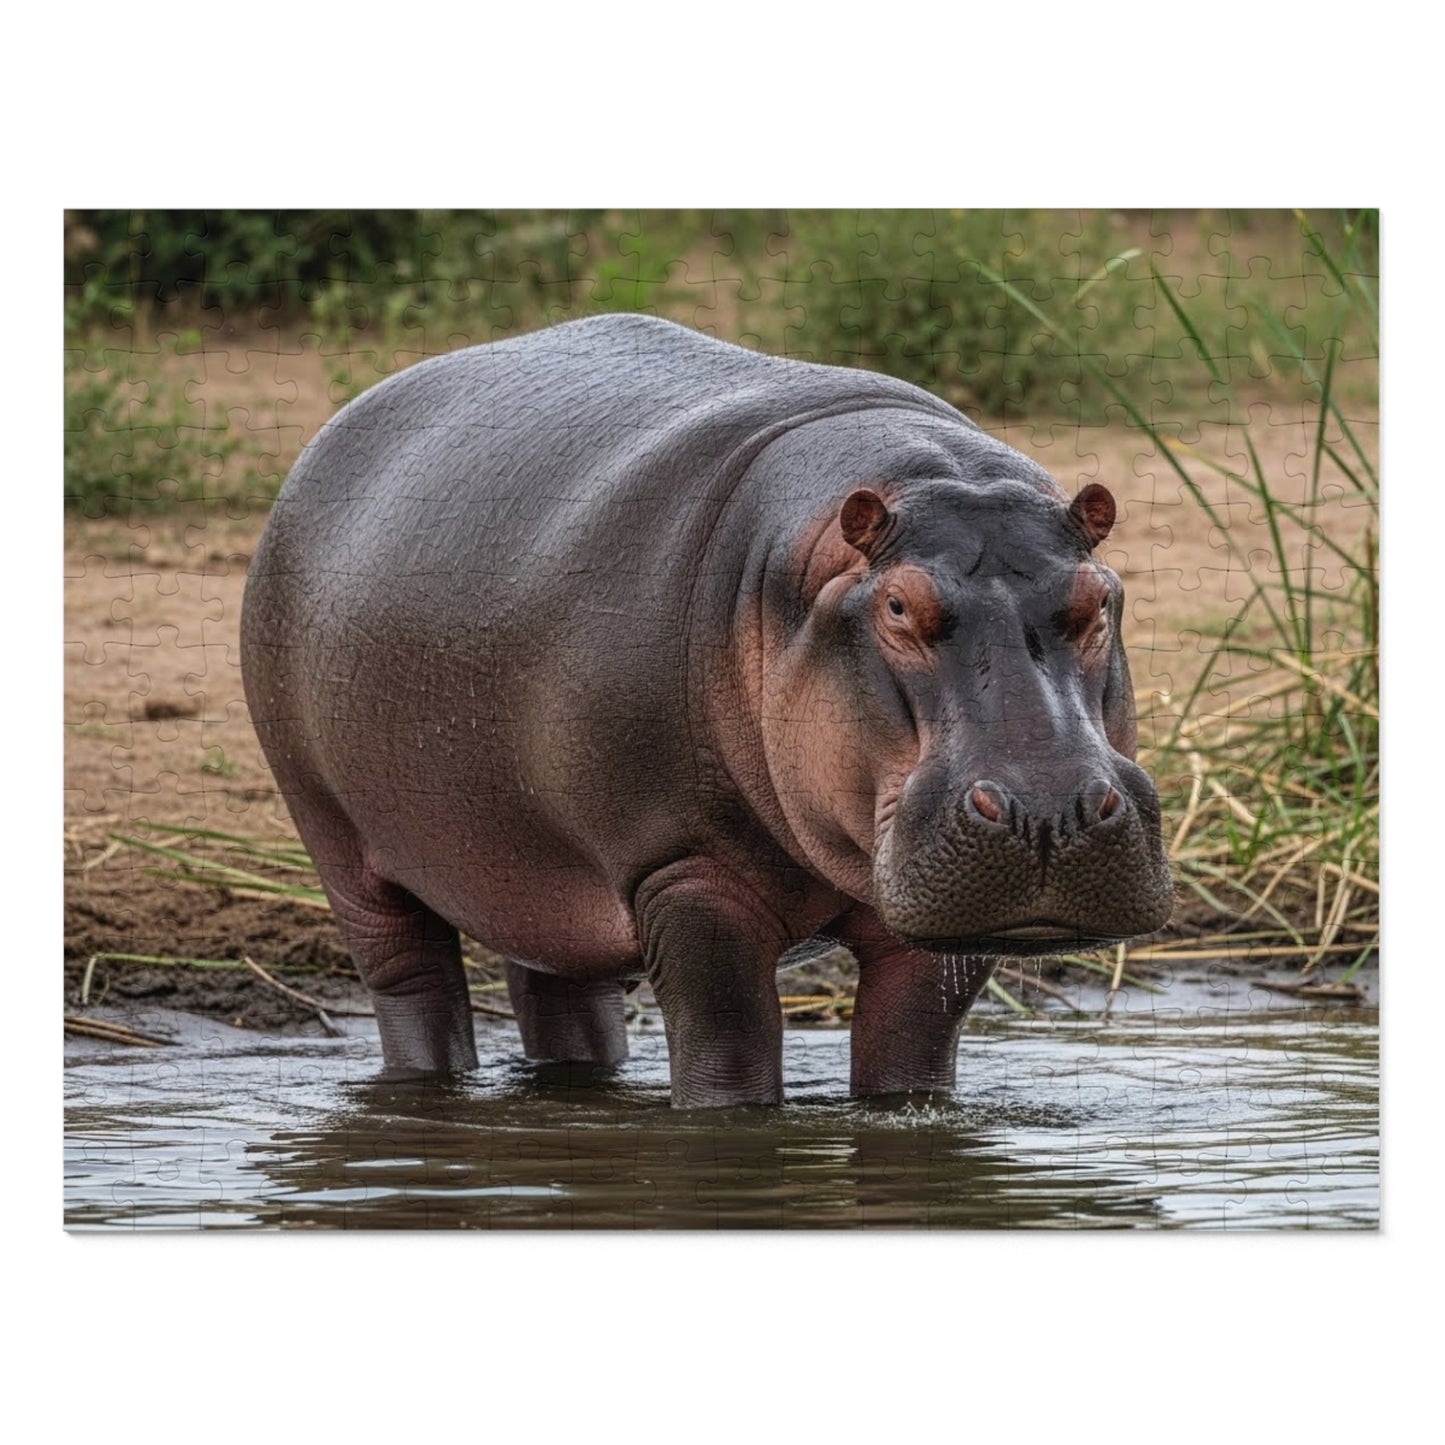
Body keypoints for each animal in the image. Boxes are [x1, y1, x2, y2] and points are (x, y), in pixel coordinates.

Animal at [241, 313, 1173, 1106]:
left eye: (1098, 597)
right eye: (898, 606)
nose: (1048, 810)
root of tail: (337, 430)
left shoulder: (932, 918)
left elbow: (911, 1049)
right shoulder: (679, 866)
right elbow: (729, 1041)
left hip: (543, 864)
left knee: (561, 990)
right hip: (337, 839)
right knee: (411, 983)